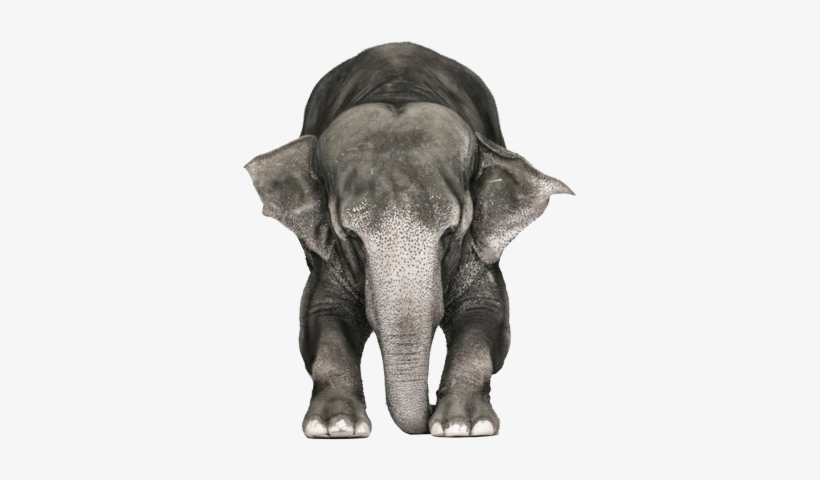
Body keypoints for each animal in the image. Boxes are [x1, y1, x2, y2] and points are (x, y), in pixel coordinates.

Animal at [245, 42, 572, 438]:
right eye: (351, 236)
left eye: (450, 234)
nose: (430, 409)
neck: (399, 92)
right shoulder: (326, 255)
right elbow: (321, 317)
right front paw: (336, 426)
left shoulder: (479, 247)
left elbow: (489, 315)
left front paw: (463, 425)